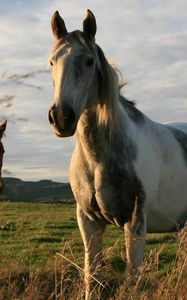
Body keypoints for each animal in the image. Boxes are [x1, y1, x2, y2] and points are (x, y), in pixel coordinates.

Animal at [48, 9, 187, 300]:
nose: (61, 117)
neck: (98, 159)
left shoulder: (134, 222)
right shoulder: (88, 222)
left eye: (89, 61)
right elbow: (92, 277)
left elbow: (132, 279)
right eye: (52, 61)